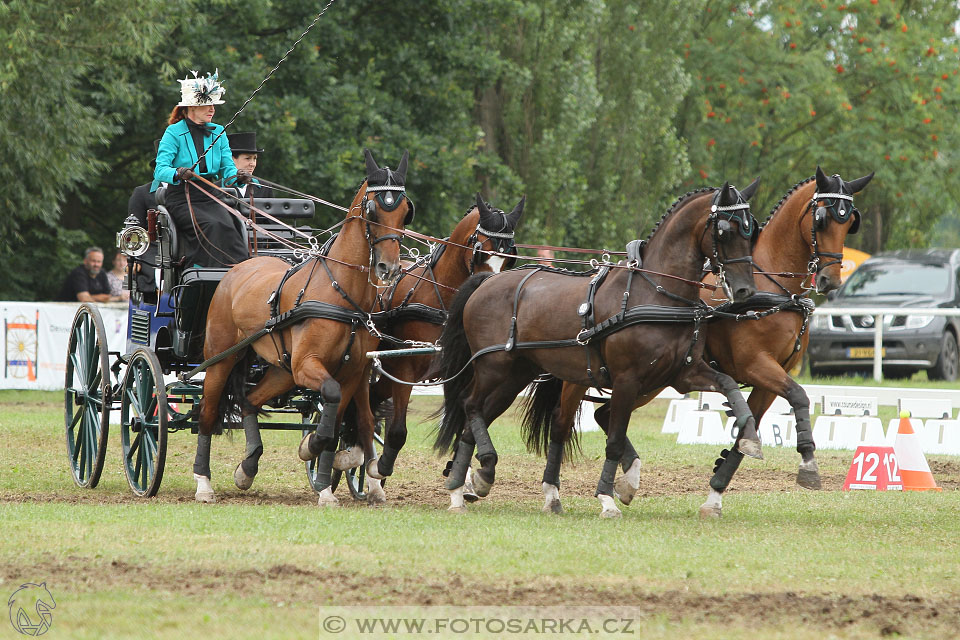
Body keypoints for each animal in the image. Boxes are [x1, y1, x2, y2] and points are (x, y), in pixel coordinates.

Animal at [190, 149, 412, 504]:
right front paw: (311, 449)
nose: (388, 267)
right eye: (373, 209)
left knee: (250, 400)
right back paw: (203, 483)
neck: (341, 292)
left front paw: (325, 483)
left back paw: (247, 467)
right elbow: (331, 406)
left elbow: (336, 422)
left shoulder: (351, 372)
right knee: (207, 414)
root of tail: (237, 269)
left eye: (405, 212)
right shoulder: (308, 365)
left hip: (282, 370)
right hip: (221, 359)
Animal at [316, 194, 524, 504]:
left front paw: (461, 480)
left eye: (510, 256)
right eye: (479, 251)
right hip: (368, 368)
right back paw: (354, 461)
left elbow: (464, 423)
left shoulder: (461, 372)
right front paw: (379, 467)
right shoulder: (405, 369)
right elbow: (398, 431)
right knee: (361, 411)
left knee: (369, 408)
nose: (489, 290)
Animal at [434, 179, 756, 516]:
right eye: (725, 230)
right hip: (494, 367)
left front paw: (749, 436)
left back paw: (472, 484)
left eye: (751, 230)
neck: (655, 293)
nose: (745, 290)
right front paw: (607, 498)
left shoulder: (683, 373)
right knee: (470, 405)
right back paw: (470, 481)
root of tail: (484, 282)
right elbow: (614, 439)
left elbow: (728, 383)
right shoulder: (627, 379)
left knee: (477, 421)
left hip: (516, 375)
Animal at [528, 168, 872, 516]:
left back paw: (626, 482)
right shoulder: (755, 365)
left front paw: (715, 495)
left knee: (604, 415)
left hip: (650, 382)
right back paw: (555, 493)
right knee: (562, 422)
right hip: (584, 376)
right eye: (821, 219)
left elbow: (750, 427)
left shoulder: (768, 379)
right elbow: (798, 395)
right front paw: (808, 464)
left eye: (849, 222)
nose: (830, 280)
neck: (772, 286)